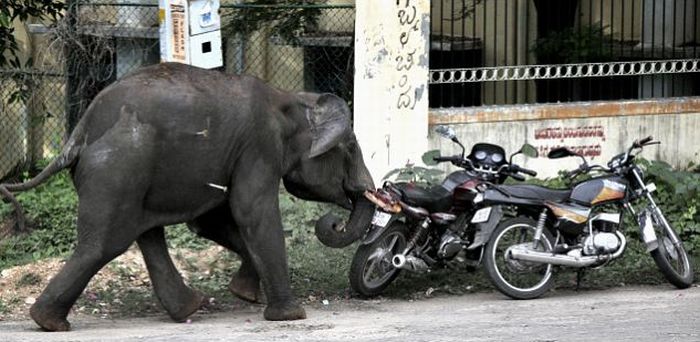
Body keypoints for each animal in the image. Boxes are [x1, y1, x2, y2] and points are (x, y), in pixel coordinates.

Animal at [1, 62, 378, 332]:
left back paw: (188, 308)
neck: (291, 98)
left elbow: (210, 222)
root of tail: (79, 132)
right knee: (105, 243)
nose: (334, 221)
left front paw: (243, 293)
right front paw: (291, 315)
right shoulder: (259, 146)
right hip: (118, 167)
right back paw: (49, 322)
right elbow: (251, 212)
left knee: (145, 233)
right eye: (351, 147)